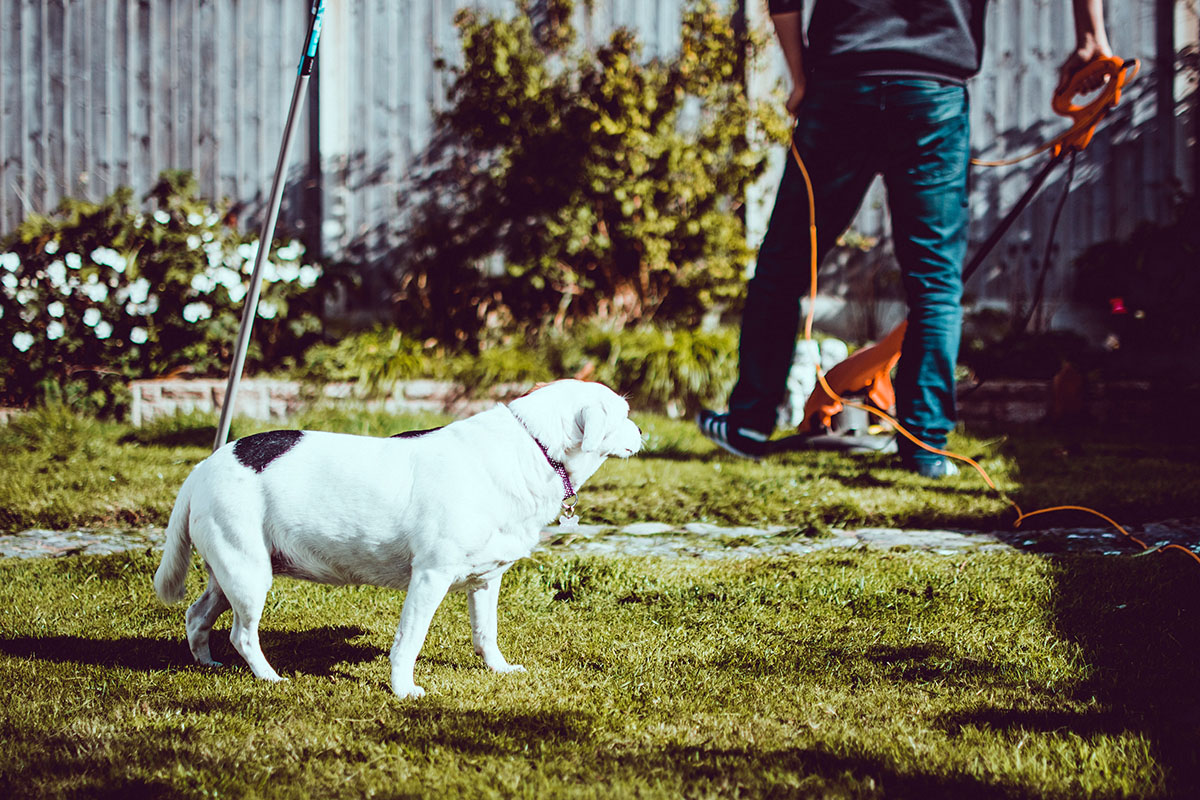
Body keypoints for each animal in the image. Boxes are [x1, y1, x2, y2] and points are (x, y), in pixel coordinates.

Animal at [154, 379, 643, 695]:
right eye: (624, 414)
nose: (643, 431)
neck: (532, 447)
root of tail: (202, 467)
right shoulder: (430, 576)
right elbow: (409, 640)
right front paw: (404, 689)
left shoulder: (487, 580)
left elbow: (486, 633)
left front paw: (499, 669)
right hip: (249, 573)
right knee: (242, 634)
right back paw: (269, 677)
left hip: (231, 572)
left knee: (197, 616)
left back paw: (206, 663)